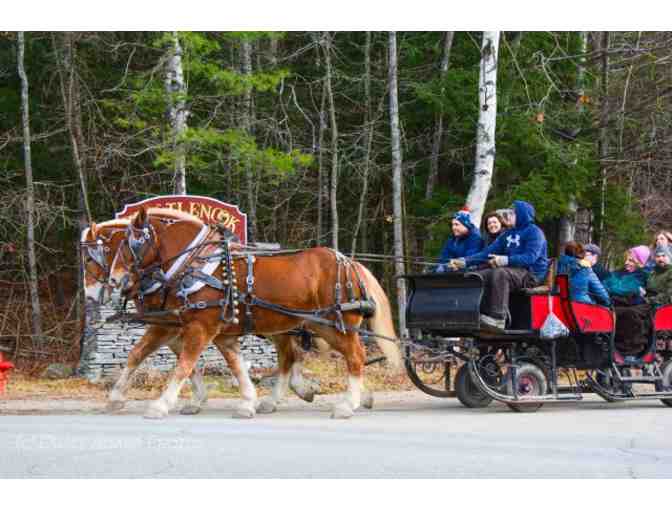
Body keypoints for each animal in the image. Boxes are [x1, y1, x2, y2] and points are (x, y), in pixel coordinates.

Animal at [112, 207, 401, 419]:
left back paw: (347, 404)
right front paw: (247, 402)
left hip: (336, 325)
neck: (197, 265)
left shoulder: (199, 327)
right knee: (295, 357)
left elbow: (183, 364)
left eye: (132, 243)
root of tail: (350, 262)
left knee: (355, 357)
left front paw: (160, 405)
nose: (115, 279)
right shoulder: (204, 330)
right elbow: (235, 366)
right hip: (314, 325)